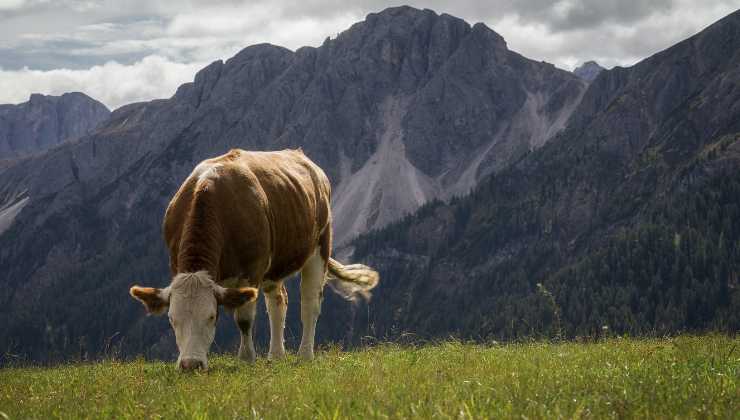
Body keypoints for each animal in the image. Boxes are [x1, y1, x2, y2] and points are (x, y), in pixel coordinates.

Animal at [129, 148, 378, 370]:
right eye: (172, 319)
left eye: (211, 316)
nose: (191, 365)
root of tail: (301, 156)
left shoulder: (252, 271)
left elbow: (244, 319)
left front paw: (247, 358)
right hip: (274, 266)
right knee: (278, 301)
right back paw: (276, 355)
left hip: (319, 247)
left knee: (310, 303)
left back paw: (305, 354)